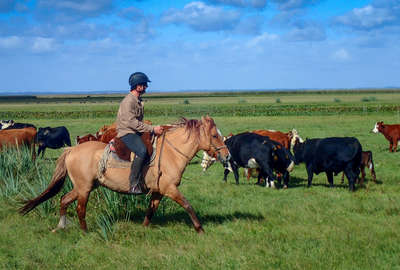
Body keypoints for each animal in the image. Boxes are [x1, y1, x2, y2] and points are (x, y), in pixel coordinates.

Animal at [18, 116, 230, 234]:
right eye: (214, 135)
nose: (227, 155)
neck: (171, 153)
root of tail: (71, 150)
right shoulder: (170, 189)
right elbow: (188, 205)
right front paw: (200, 229)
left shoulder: (158, 191)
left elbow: (151, 210)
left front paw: (144, 228)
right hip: (84, 188)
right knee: (79, 208)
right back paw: (85, 232)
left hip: (84, 187)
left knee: (63, 200)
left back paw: (61, 227)